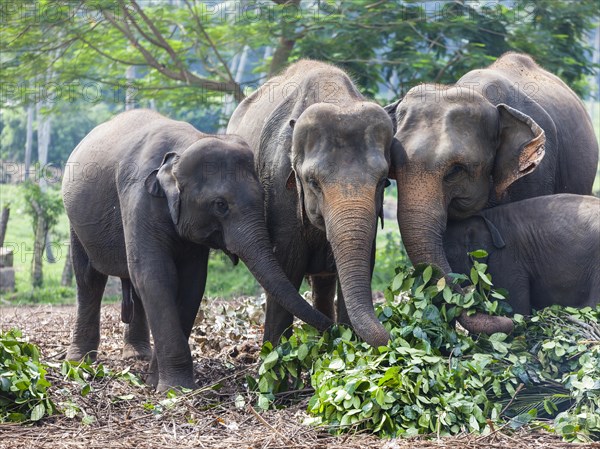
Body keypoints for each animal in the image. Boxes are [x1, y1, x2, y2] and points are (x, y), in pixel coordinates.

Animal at [63, 108, 336, 388]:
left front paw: (155, 381)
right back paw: (79, 360)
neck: (185, 146)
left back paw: (136, 356)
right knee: (89, 279)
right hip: (75, 220)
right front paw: (176, 388)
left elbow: (192, 282)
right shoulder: (138, 199)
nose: (335, 330)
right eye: (220, 205)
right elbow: (155, 276)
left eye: (262, 197)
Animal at [227, 59, 392, 346]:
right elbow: (287, 268)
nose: (391, 335)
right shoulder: (279, 188)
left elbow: (361, 267)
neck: (337, 97)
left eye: (383, 181)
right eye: (313, 182)